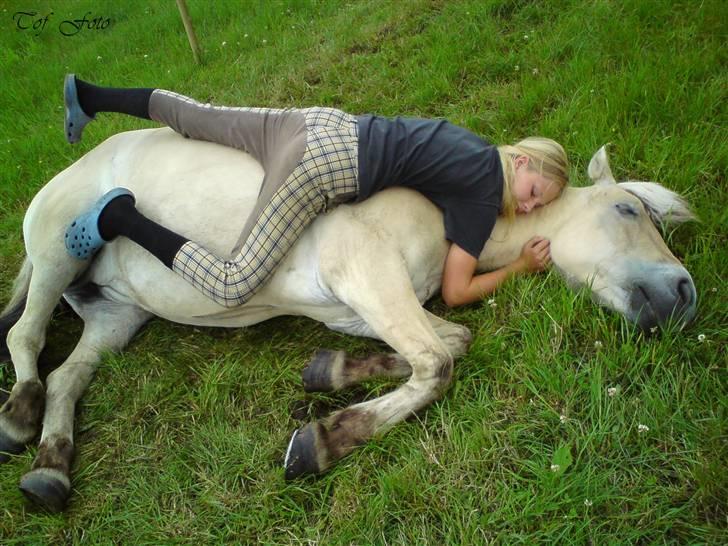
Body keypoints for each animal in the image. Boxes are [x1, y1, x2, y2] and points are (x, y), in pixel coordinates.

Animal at [0, 130, 692, 512]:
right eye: (629, 209)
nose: (684, 295)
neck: (444, 207)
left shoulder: (365, 306)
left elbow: (450, 341)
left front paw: (325, 375)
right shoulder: (367, 276)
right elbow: (437, 363)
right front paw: (324, 441)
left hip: (117, 316)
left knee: (67, 378)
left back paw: (49, 473)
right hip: (57, 256)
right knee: (24, 335)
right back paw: (18, 416)